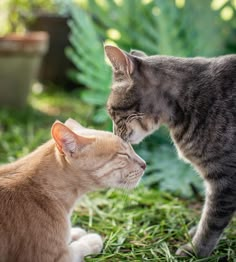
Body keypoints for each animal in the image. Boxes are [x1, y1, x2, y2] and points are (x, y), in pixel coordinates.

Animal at [0, 118, 146, 262]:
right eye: (123, 154)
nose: (144, 164)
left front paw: (74, 232)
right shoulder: (53, 257)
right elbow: (81, 247)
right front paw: (91, 240)